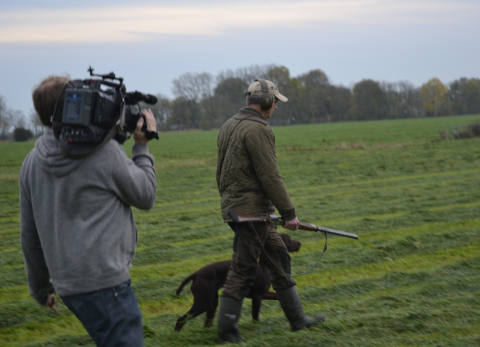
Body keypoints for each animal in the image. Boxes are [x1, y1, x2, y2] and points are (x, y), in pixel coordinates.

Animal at [172, 234, 300, 332]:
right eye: (289, 239)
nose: (300, 243)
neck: (264, 264)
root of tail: (196, 274)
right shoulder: (257, 296)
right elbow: (255, 317)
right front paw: (256, 327)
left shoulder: (264, 293)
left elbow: (279, 297)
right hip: (203, 302)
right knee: (181, 319)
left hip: (212, 302)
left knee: (207, 323)